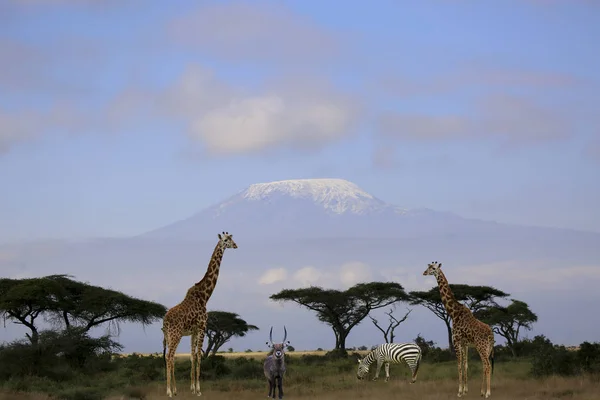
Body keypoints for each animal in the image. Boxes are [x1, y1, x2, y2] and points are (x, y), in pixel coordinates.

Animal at [163, 231, 240, 396]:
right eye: (226, 240)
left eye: (232, 238)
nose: (236, 245)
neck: (205, 296)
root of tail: (164, 321)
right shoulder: (202, 326)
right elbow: (199, 355)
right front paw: (198, 390)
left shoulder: (193, 331)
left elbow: (192, 356)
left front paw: (192, 388)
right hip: (175, 334)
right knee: (170, 356)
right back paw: (169, 391)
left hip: (169, 335)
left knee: (169, 357)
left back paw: (174, 390)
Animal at [420, 262, 494, 396]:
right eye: (428, 266)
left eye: (433, 268)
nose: (424, 272)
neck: (453, 313)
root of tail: (491, 334)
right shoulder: (464, 343)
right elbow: (465, 365)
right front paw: (465, 390)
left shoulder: (456, 341)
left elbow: (459, 365)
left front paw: (459, 391)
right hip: (487, 348)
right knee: (485, 365)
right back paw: (482, 391)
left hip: (481, 346)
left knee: (487, 365)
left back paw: (487, 393)